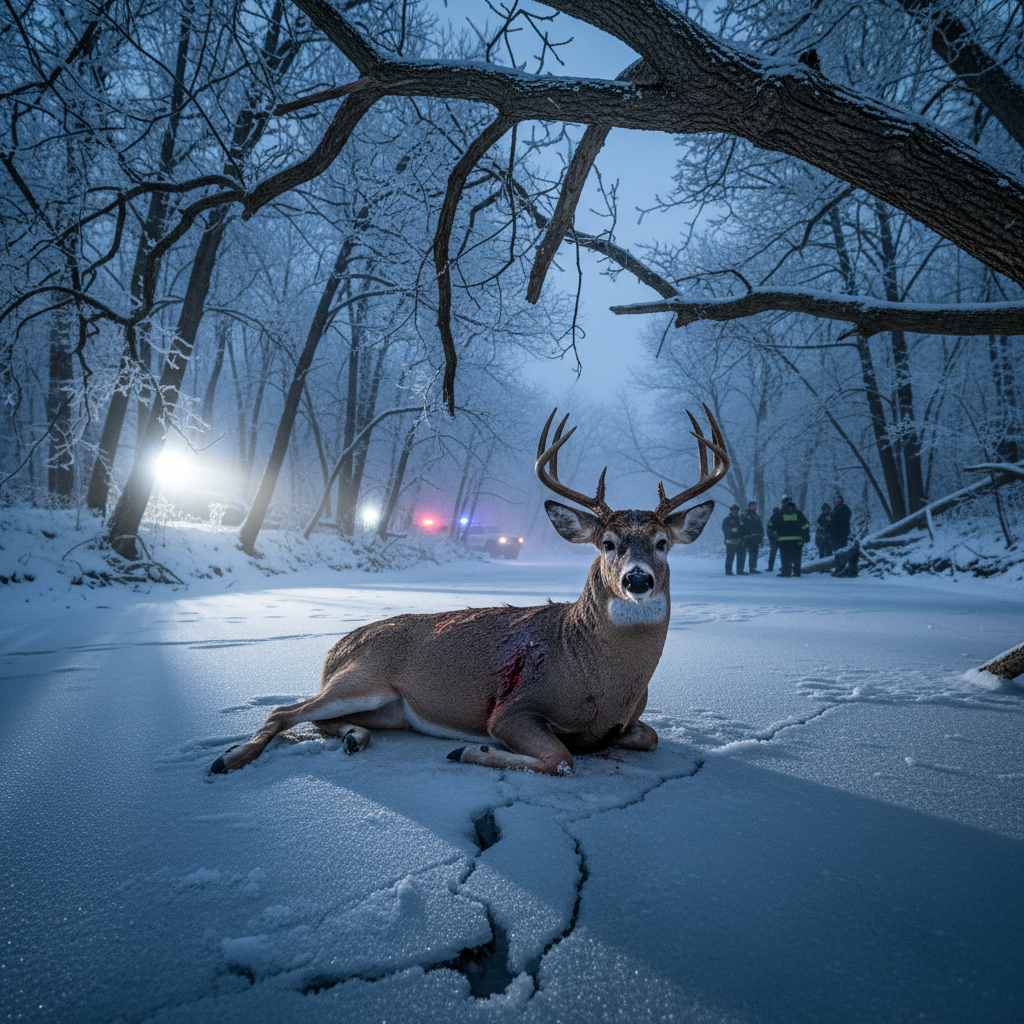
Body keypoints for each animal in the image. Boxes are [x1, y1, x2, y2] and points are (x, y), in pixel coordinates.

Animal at [210, 407, 728, 776]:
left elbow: (650, 736)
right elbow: (562, 759)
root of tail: (335, 649)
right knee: (283, 710)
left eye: (662, 543)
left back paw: (354, 737)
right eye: (608, 543)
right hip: (360, 677)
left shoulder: (625, 723)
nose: (637, 579)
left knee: (316, 719)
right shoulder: (513, 708)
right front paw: (468, 751)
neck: (596, 675)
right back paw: (229, 759)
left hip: (387, 707)